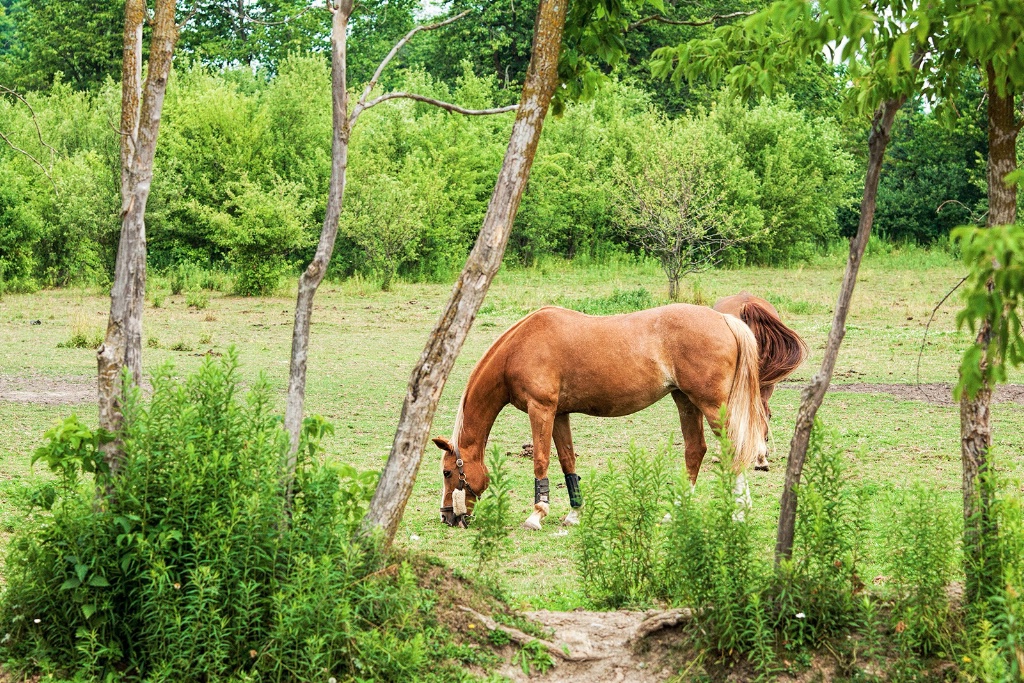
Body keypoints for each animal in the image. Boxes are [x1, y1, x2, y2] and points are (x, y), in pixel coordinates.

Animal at [432, 305, 770, 528]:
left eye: (448, 472)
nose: (447, 516)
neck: (519, 348)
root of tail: (724, 319)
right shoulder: (559, 414)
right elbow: (567, 461)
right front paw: (574, 514)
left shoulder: (541, 410)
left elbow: (541, 459)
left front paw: (537, 513)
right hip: (685, 401)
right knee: (695, 450)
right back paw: (676, 510)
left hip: (711, 405)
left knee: (733, 450)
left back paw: (740, 512)